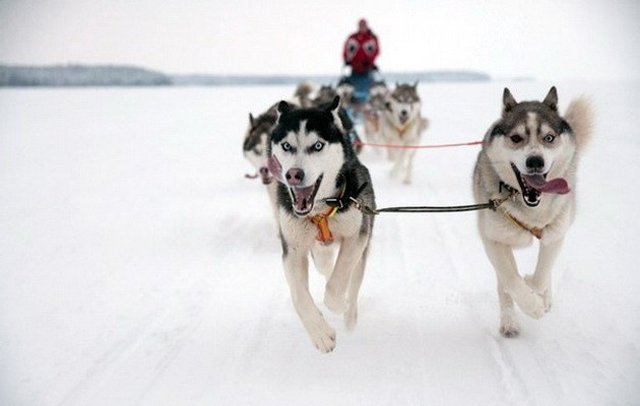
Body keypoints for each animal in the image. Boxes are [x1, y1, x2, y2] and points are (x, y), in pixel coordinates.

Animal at [264, 95, 376, 352]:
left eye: (317, 146)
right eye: (287, 146)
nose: (293, 174)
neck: (319, 211)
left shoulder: (356, 237)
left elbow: (341, 277)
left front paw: (335, 303)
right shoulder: (293, 250)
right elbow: (299, 297)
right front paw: (321, 334)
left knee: (353, 282)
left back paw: (349, 315)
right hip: (319, 253)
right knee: (326, 267)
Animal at [472, 85, 592, 336]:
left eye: (549, 138)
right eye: (516, 138)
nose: (535, 161)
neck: (530, 211)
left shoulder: (555, 235)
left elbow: (540, 275)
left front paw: (536, 292)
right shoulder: (493, 240)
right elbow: (510, 279)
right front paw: (532, 306)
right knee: (504, 281)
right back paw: (510, 321)